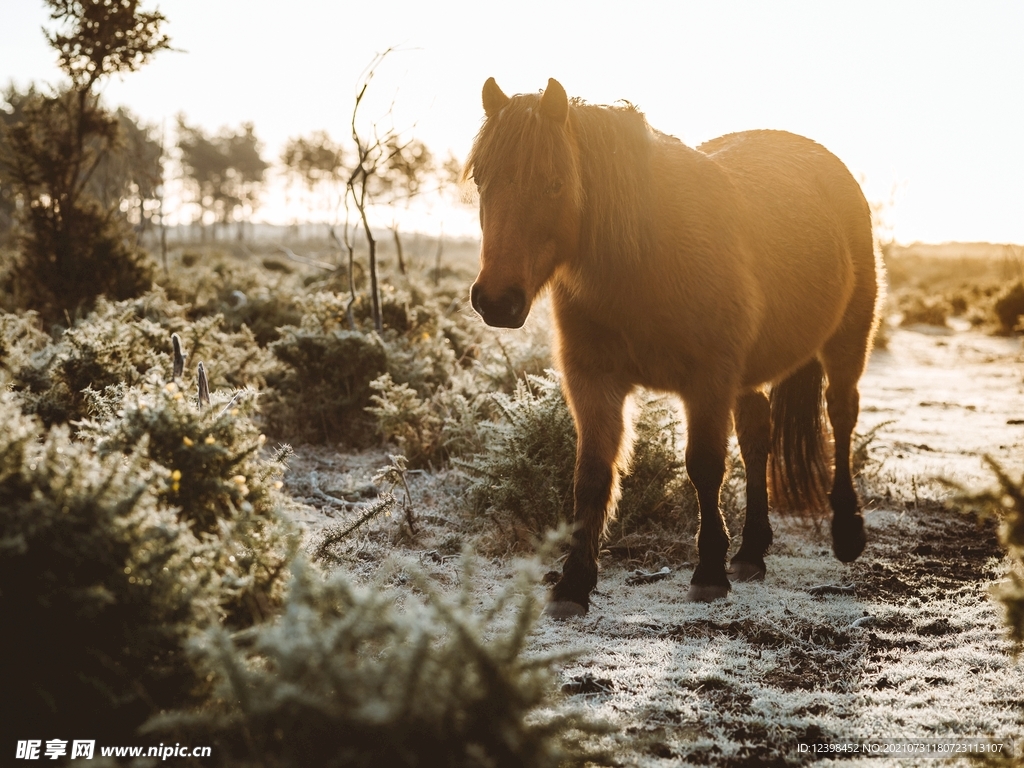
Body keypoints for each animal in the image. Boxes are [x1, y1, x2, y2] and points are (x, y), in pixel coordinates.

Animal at [464, 78, 880, 618]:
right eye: (482, 180)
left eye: (554, 183)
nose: (496, 300)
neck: (646, 256)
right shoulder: (593, 380)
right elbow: (591, 473)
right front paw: (574, 584)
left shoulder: (708, 382)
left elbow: (703, 466)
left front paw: (708, 573)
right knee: (758, 436)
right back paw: (751, 552)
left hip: (847, 340)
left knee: (842, 414)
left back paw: (847, 533)